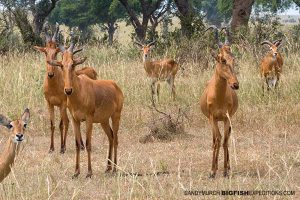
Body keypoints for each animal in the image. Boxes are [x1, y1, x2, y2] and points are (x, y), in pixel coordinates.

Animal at [33, 23, 97, 152]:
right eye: (45, 51)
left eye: (56, 52)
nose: (50, 74)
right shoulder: (50, 104)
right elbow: (52, 124)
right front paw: (51, 148)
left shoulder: (62, 104)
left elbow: (63, 124)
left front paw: (62, 148)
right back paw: (81, 145)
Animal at [200, 27, 240, 178]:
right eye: (222, 60)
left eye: (233, 59)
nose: (235, 84)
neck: (219, 96)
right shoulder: (212, 118)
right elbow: (217, 140)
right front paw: (212, 171)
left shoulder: (227, 118)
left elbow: (225, 141)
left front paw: (225, 171)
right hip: (214, 121)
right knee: (215, 140)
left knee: (226, 139)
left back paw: (227, 167)